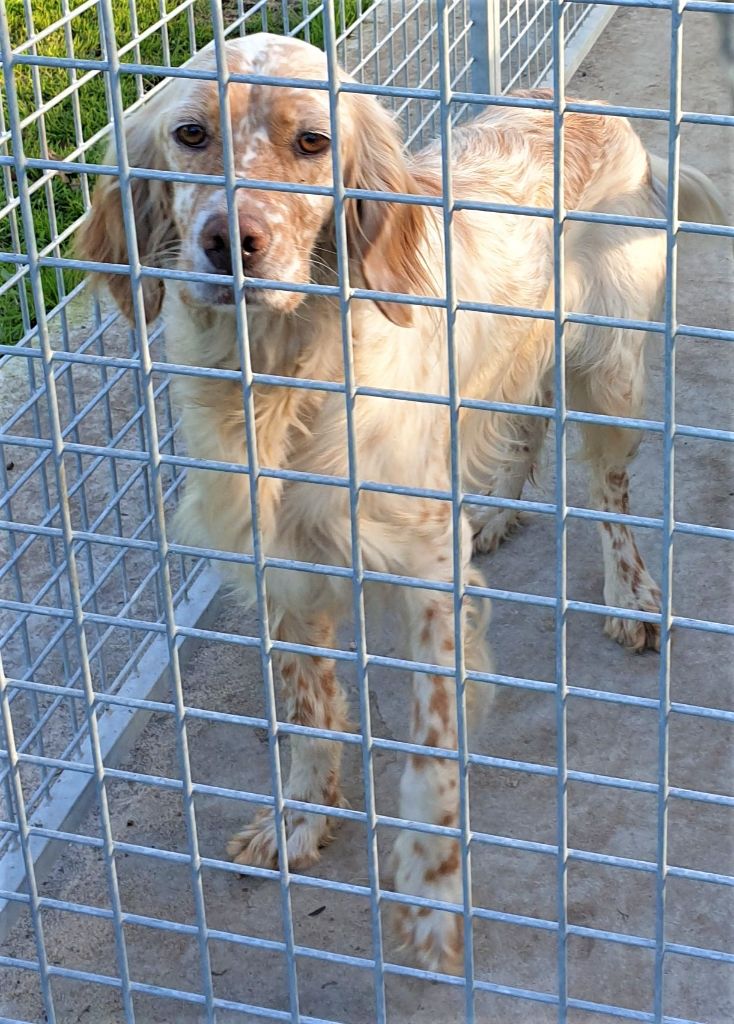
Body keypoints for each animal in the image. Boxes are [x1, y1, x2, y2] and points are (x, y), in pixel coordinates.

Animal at [78, 32, 727, 972]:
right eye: (190, 134)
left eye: (312, 142)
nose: (229, 241)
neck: (285, 376)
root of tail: (601, 114)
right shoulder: (283, 567)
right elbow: (309, 712)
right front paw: (301, 822)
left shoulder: (427, 582)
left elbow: (429, 752)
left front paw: (429, 890)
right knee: (522, 416)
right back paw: (495, 509)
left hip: (609, 370)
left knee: (609, 492)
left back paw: (630, 594)